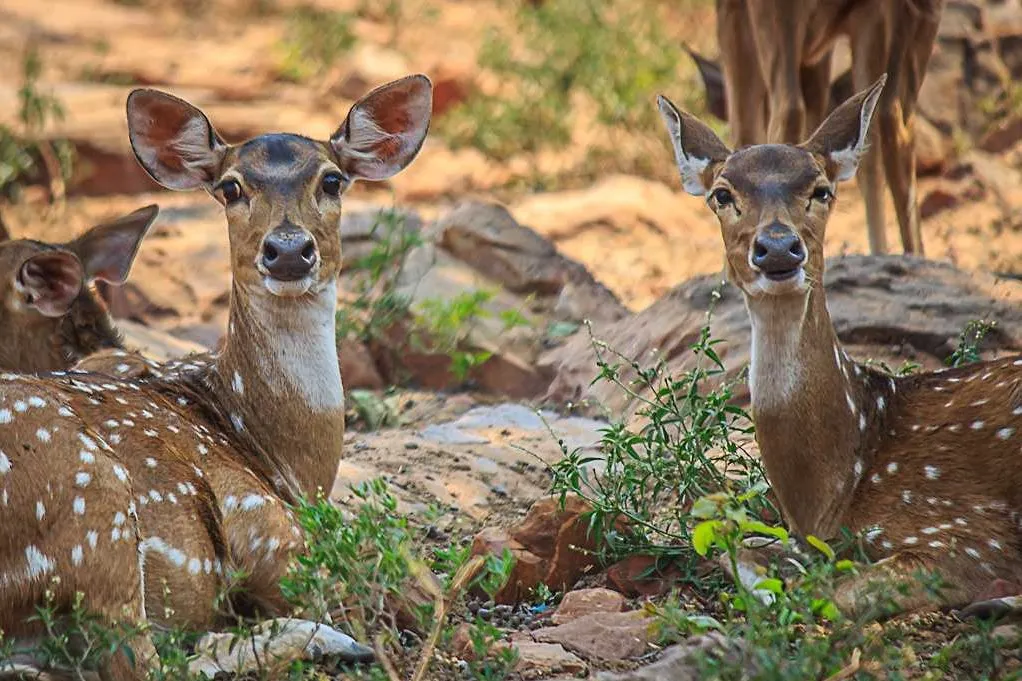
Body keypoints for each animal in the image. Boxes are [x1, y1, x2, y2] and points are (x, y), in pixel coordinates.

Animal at [656, 75, 1022, 619]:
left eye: (821, 189)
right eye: (722, 194)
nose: (778, 246)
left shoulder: (966, 533)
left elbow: (836, 592)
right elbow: (734, 548)